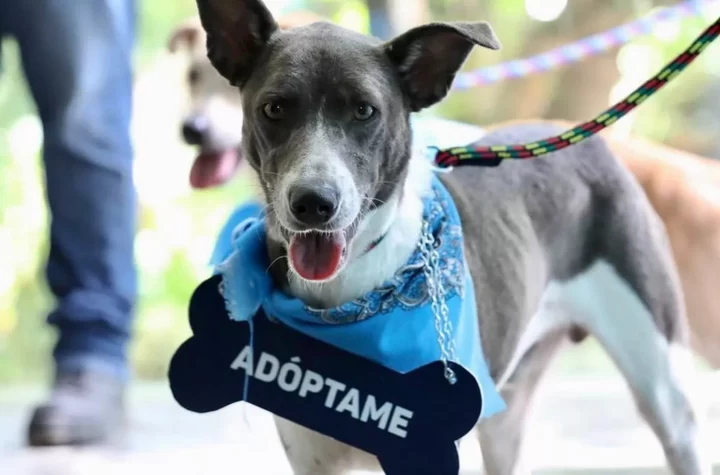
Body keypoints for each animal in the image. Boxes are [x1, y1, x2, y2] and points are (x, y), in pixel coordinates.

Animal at [191, 0, 708, 474]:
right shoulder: (312, 458)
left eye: (364, 110)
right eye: (274, 108)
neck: (346, 299)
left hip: (663, 388)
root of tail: (584, 141)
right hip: (506, 415)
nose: (314, 203)